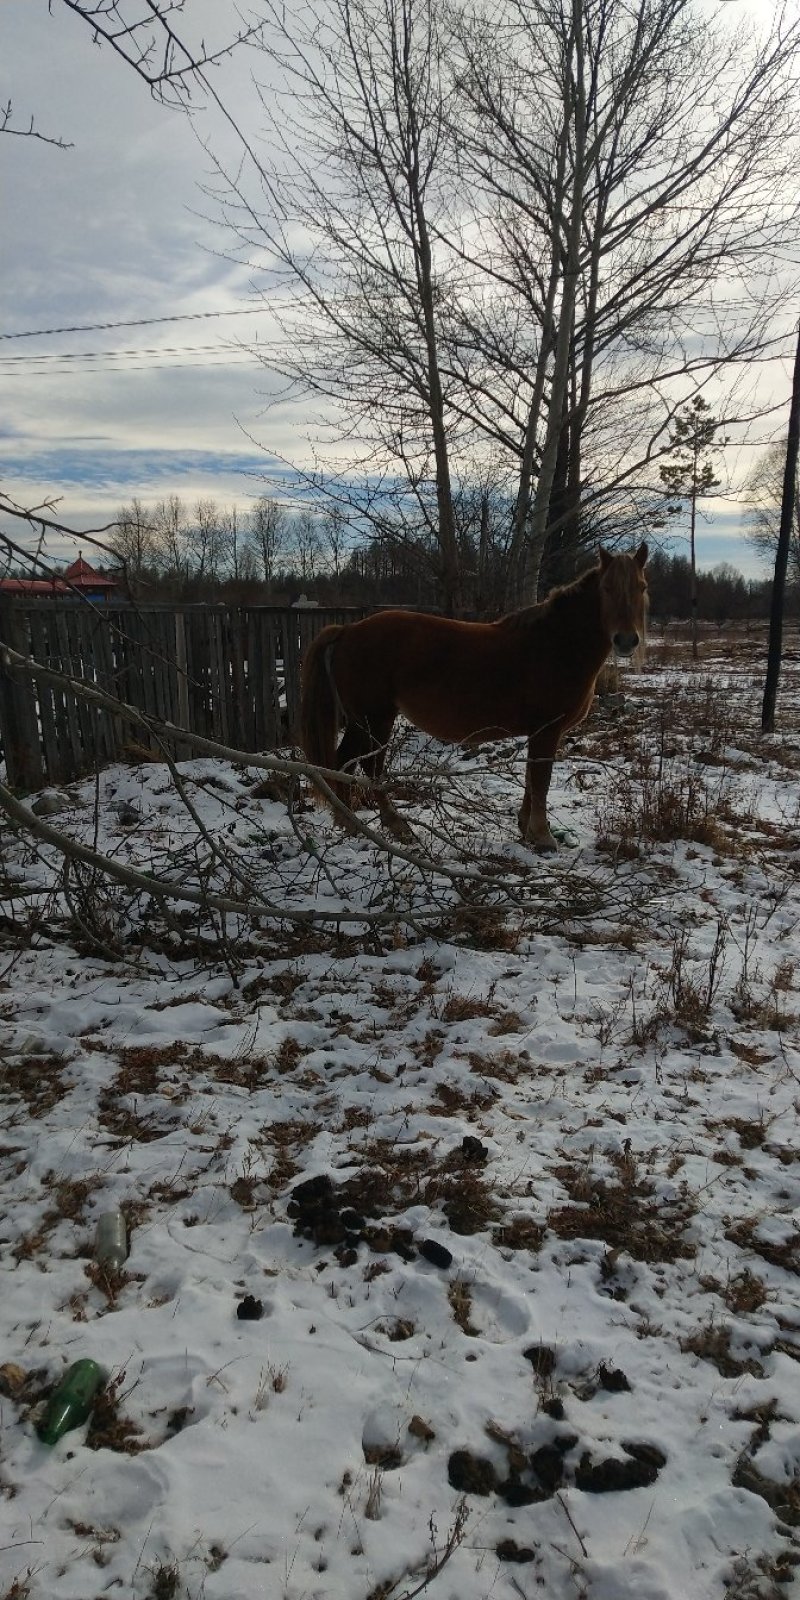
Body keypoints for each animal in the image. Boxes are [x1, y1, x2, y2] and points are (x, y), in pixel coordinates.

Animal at [299, 543, 648, 850]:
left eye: (642, 587)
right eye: (606, 588)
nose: (626, 640)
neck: (555, 644)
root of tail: (348, 630)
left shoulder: (539, 732)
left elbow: (531, 780)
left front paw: (526, 829)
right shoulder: (547, 729)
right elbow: (541, 780)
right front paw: (543, 836)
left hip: (362, 721)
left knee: (343, 762)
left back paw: (350, 823)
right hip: (374, 719)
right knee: (368, 767)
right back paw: (391, 826)